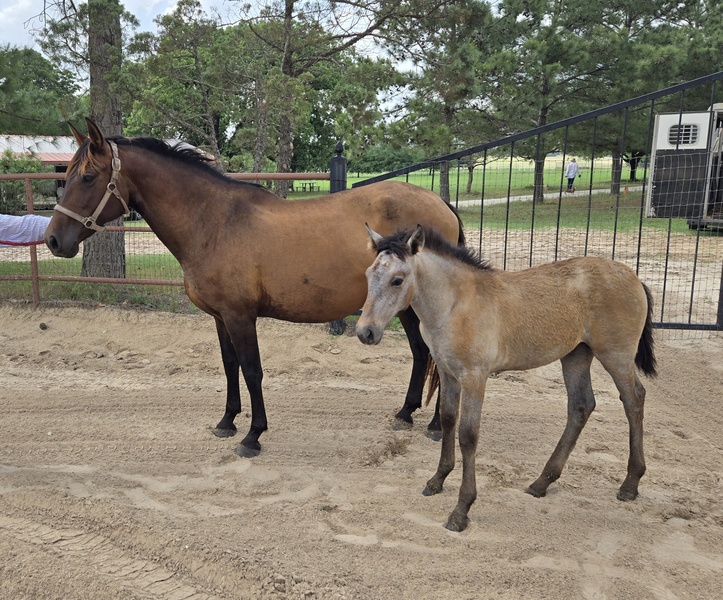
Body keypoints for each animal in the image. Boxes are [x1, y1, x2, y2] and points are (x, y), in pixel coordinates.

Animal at [44, 118, 464, 457]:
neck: (214, 222)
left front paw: (253, 436)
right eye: (66, 176)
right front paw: (227, 422)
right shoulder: (220, 317)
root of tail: (440, 203)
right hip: (404, 307)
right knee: (421, 353)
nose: (53, 240)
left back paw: (435, 426)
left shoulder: (240, 316)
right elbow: (230, 366)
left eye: (87, 177)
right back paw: (406, 414)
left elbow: (252, 370)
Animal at [356, 225, 657, 532]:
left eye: (397, 280)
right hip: (576, 355)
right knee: (581, 405)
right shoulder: (448, 372)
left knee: (634, 399)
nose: (365, 332)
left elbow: (468, 435)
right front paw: (437, 480)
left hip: (615, 355)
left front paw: (461, 510)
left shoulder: (475, 377)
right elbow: (448, 420)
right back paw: (542, 482)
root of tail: (634, 276)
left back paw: (630, 483)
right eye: (368, 275)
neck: (455, 305)